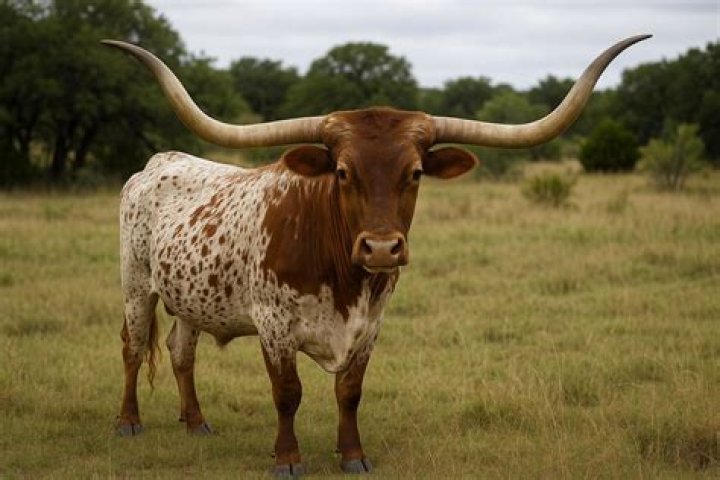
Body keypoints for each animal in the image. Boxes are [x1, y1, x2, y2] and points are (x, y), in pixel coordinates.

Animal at [104, 35, 649, 477]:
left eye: (415, 172)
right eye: (343, 172)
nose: (383, 248)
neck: (343, 275)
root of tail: (161, 159)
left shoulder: (371, 325)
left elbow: (350, 393)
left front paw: (353, 456)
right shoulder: (273, 324)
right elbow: (287, 393)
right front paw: (287, 459)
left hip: (191, 298)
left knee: (181, 351)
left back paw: (196, 422)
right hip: (135, 283)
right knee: (133, 345)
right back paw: (128, 421)